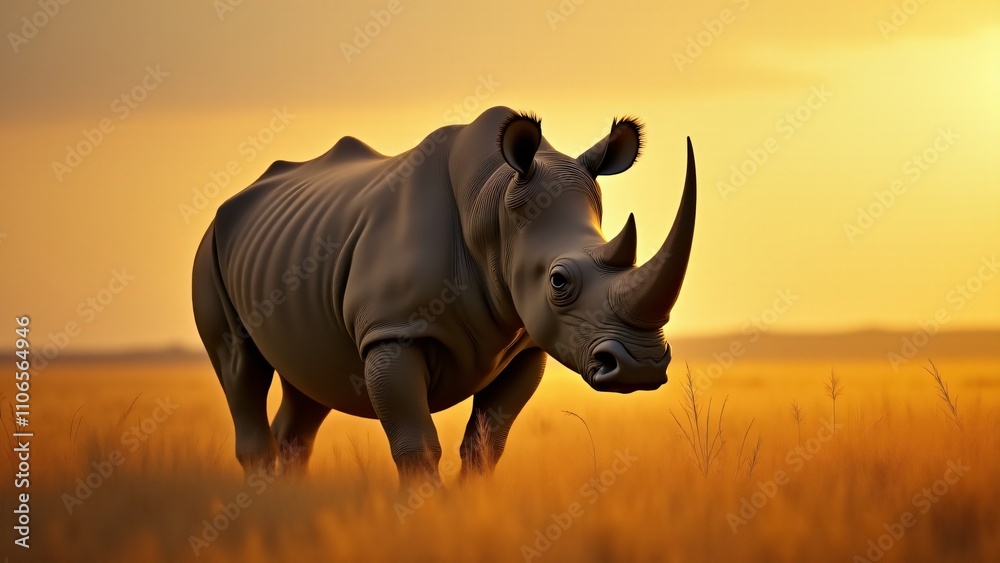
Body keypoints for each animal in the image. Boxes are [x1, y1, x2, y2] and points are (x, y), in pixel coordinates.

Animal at [192, 106, 696, 483]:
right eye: (558, 281)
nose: (642, 366)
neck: (493, 205)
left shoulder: (525, 346)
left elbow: (486, 444)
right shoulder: (392, 331)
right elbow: (416, 444)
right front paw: (421, 518)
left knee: (310, 379)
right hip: (210, 246)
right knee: (240, 365)